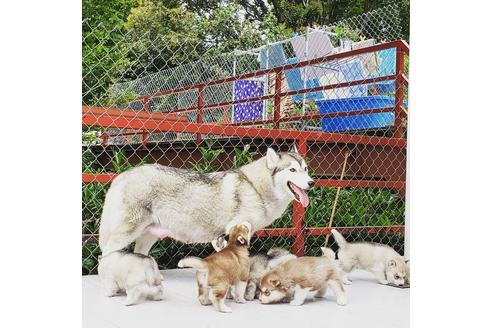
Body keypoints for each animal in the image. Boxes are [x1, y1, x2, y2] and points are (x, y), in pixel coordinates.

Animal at [98, 146, 314, 256]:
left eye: (305, 169)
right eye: (292, 170)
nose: (311, 183)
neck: (255, 186)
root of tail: (121, 176)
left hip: (147, 238)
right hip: (126, 234)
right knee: (104, 255)